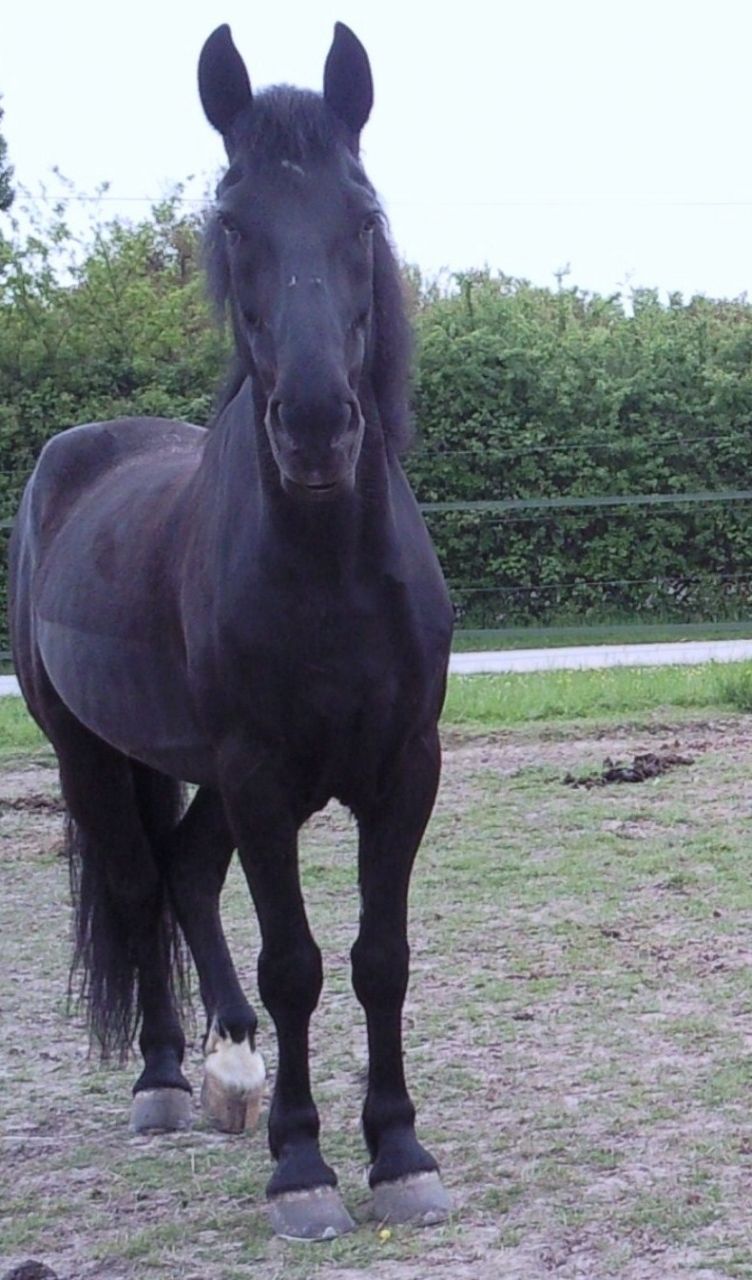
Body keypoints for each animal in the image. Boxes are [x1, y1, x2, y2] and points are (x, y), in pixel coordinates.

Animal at [8, 22, 453, 1240]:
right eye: (233, 226)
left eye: (361, 218)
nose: (314, 425)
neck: (329, 569)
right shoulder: (261, 776)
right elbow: (297, 960)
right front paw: (302, 1168)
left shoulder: (404, 770)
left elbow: (380, 957)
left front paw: (399, 1151)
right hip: (91, 756)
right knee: (135, 881)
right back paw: (168, 1075)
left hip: (201, 770)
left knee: (186, 874)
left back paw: (234, 1063)